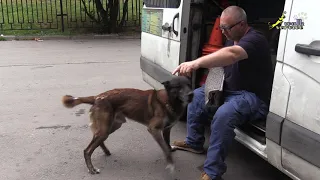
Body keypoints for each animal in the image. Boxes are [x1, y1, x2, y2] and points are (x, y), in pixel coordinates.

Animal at [61, 76, 194, 174]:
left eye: (189, 84)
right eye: (178, 86)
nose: (191, 94)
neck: (169, 101)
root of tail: (97, 97)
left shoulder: (167, 129)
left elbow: (166, 144)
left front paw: (170, 150)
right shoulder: (153, 129)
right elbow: (165, 149)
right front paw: (170, 163)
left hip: (112, 126)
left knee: (97, 140)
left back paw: (106, 151)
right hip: (105, 129)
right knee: (87, 150)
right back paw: (91, 169)